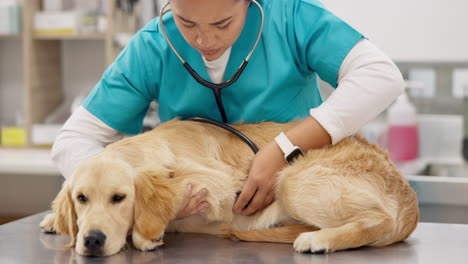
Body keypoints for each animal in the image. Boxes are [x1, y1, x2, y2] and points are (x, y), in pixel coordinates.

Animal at [39, 117, 420, 256]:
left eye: (119, 198)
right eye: (81, 199)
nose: (92, 240)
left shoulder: (215, 183)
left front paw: (146, 235)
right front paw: (53, 219)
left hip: (291, 180)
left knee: (379, 219)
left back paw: (319, 239)